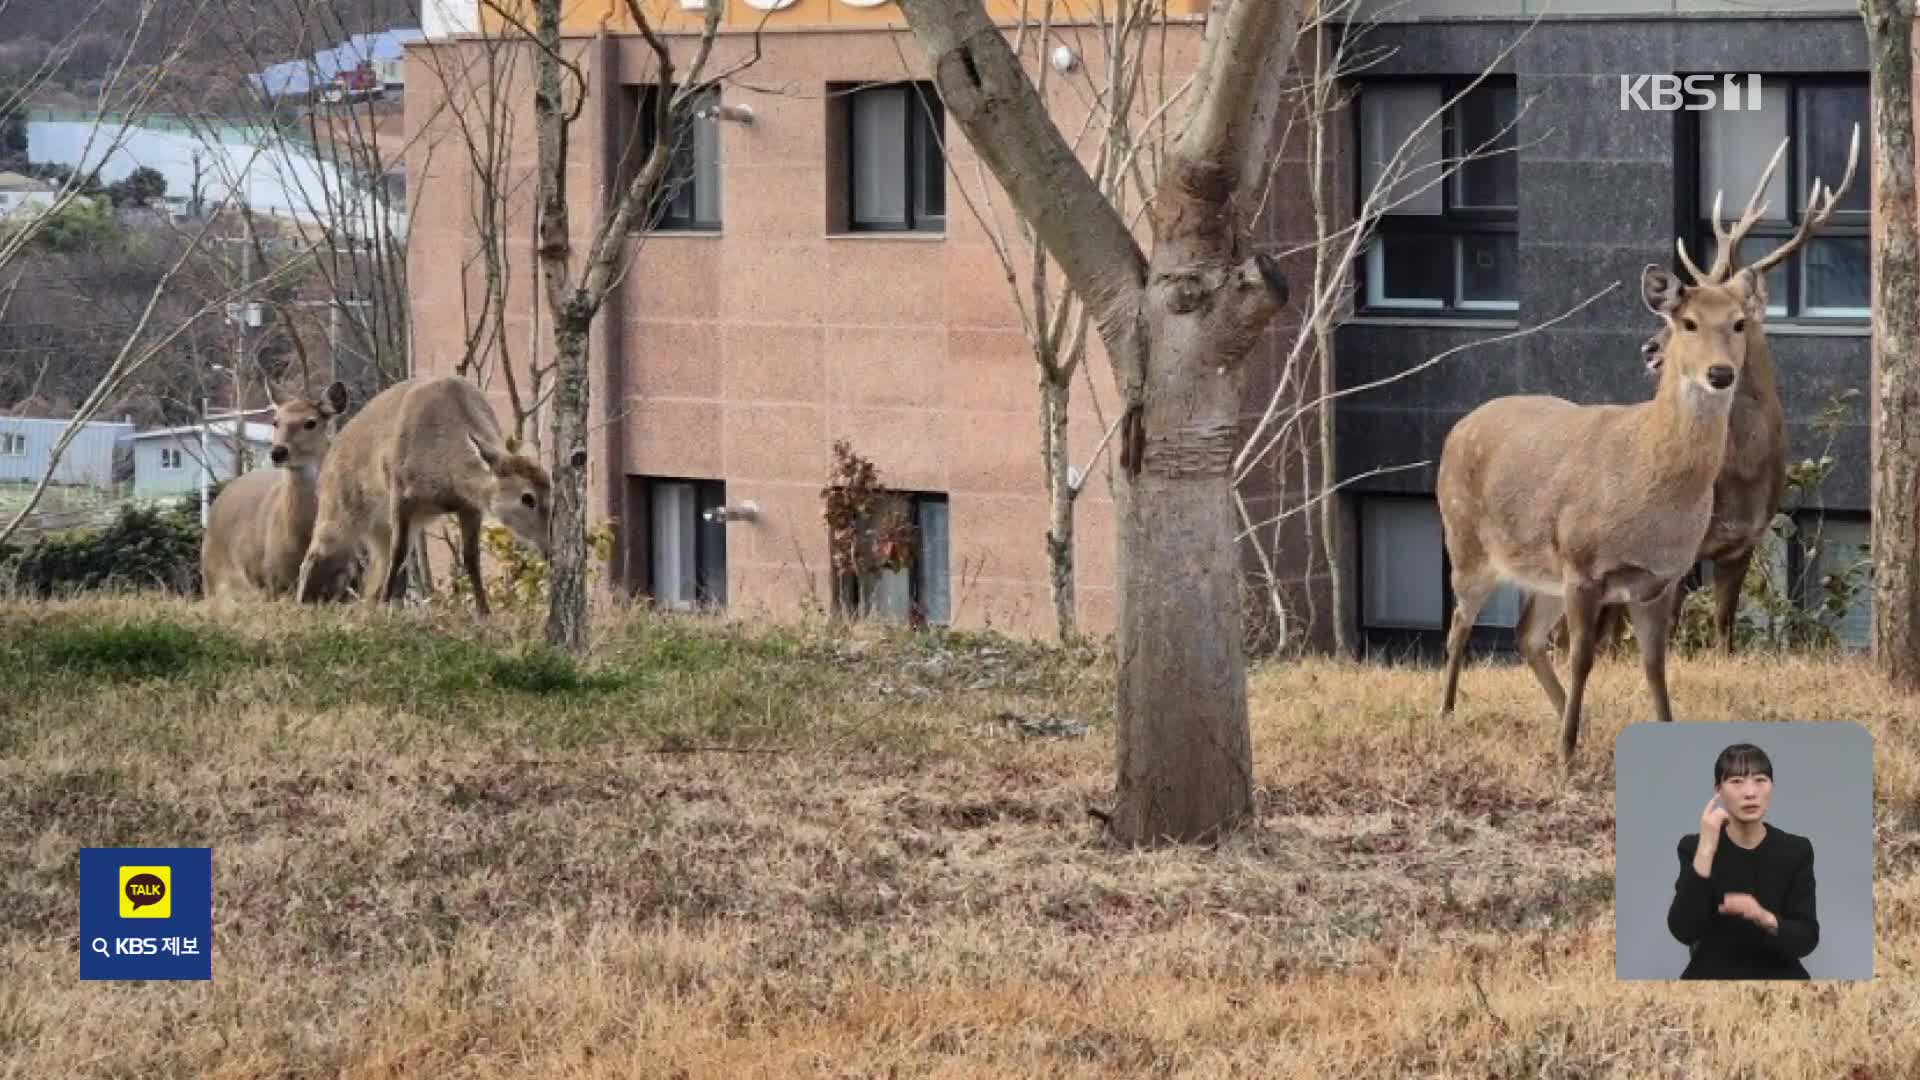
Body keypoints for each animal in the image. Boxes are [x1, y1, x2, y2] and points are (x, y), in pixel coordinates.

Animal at [202, 378, 353, 595]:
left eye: (311, 422)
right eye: (276, 421)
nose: (278, 452)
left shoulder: (342, 579)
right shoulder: (269, 579)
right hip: (212, 576)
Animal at [288, 372, 564, 611]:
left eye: (552, 494)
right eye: (527, 498)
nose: (549, 549)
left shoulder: (470, 506)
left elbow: (471, 559)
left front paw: (484, 612)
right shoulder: (401, 493)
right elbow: (399, 555)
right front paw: (386, 606)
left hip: (381, 526)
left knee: (376, 563)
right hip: (339, 504)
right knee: (314, 554)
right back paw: (304, 602)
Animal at [1443, 261, 1766, 757]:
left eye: (1738, 323)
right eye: (1688, 323)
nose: (1720, 372)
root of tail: (1457, 428)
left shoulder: (1661, 578)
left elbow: (1654, 664)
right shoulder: (1583, 565)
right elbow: (1582, 658)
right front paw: (1565, 752)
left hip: (1545, 573)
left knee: (1526, 635)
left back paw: (1576, 719)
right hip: (1465, 540)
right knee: (1459, 624)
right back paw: (1448, 711)